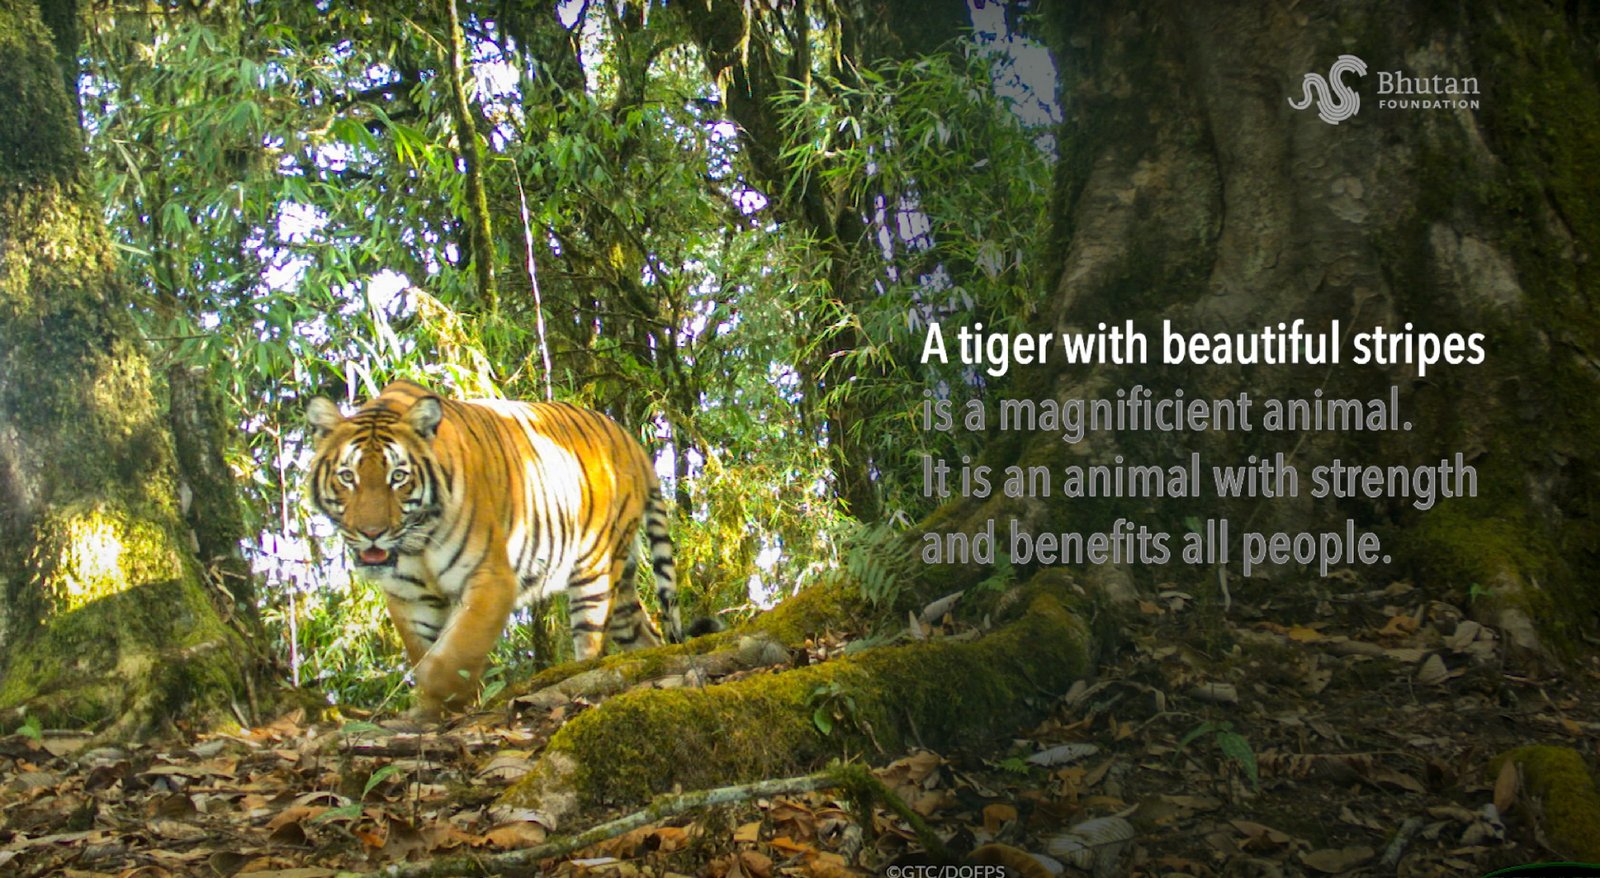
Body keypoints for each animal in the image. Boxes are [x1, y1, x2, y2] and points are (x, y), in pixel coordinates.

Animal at [305, 379, 683, 716]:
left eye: (398, 477)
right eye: (347, 477)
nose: (371, 533)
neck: (416, 541)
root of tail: (631, 441)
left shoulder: (490, 578)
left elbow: (454, 654)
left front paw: (440, 706)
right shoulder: (409, 596)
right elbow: (426, 653)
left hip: (596, 571)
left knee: (590, 643)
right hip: (622, 589)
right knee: (646, 636)